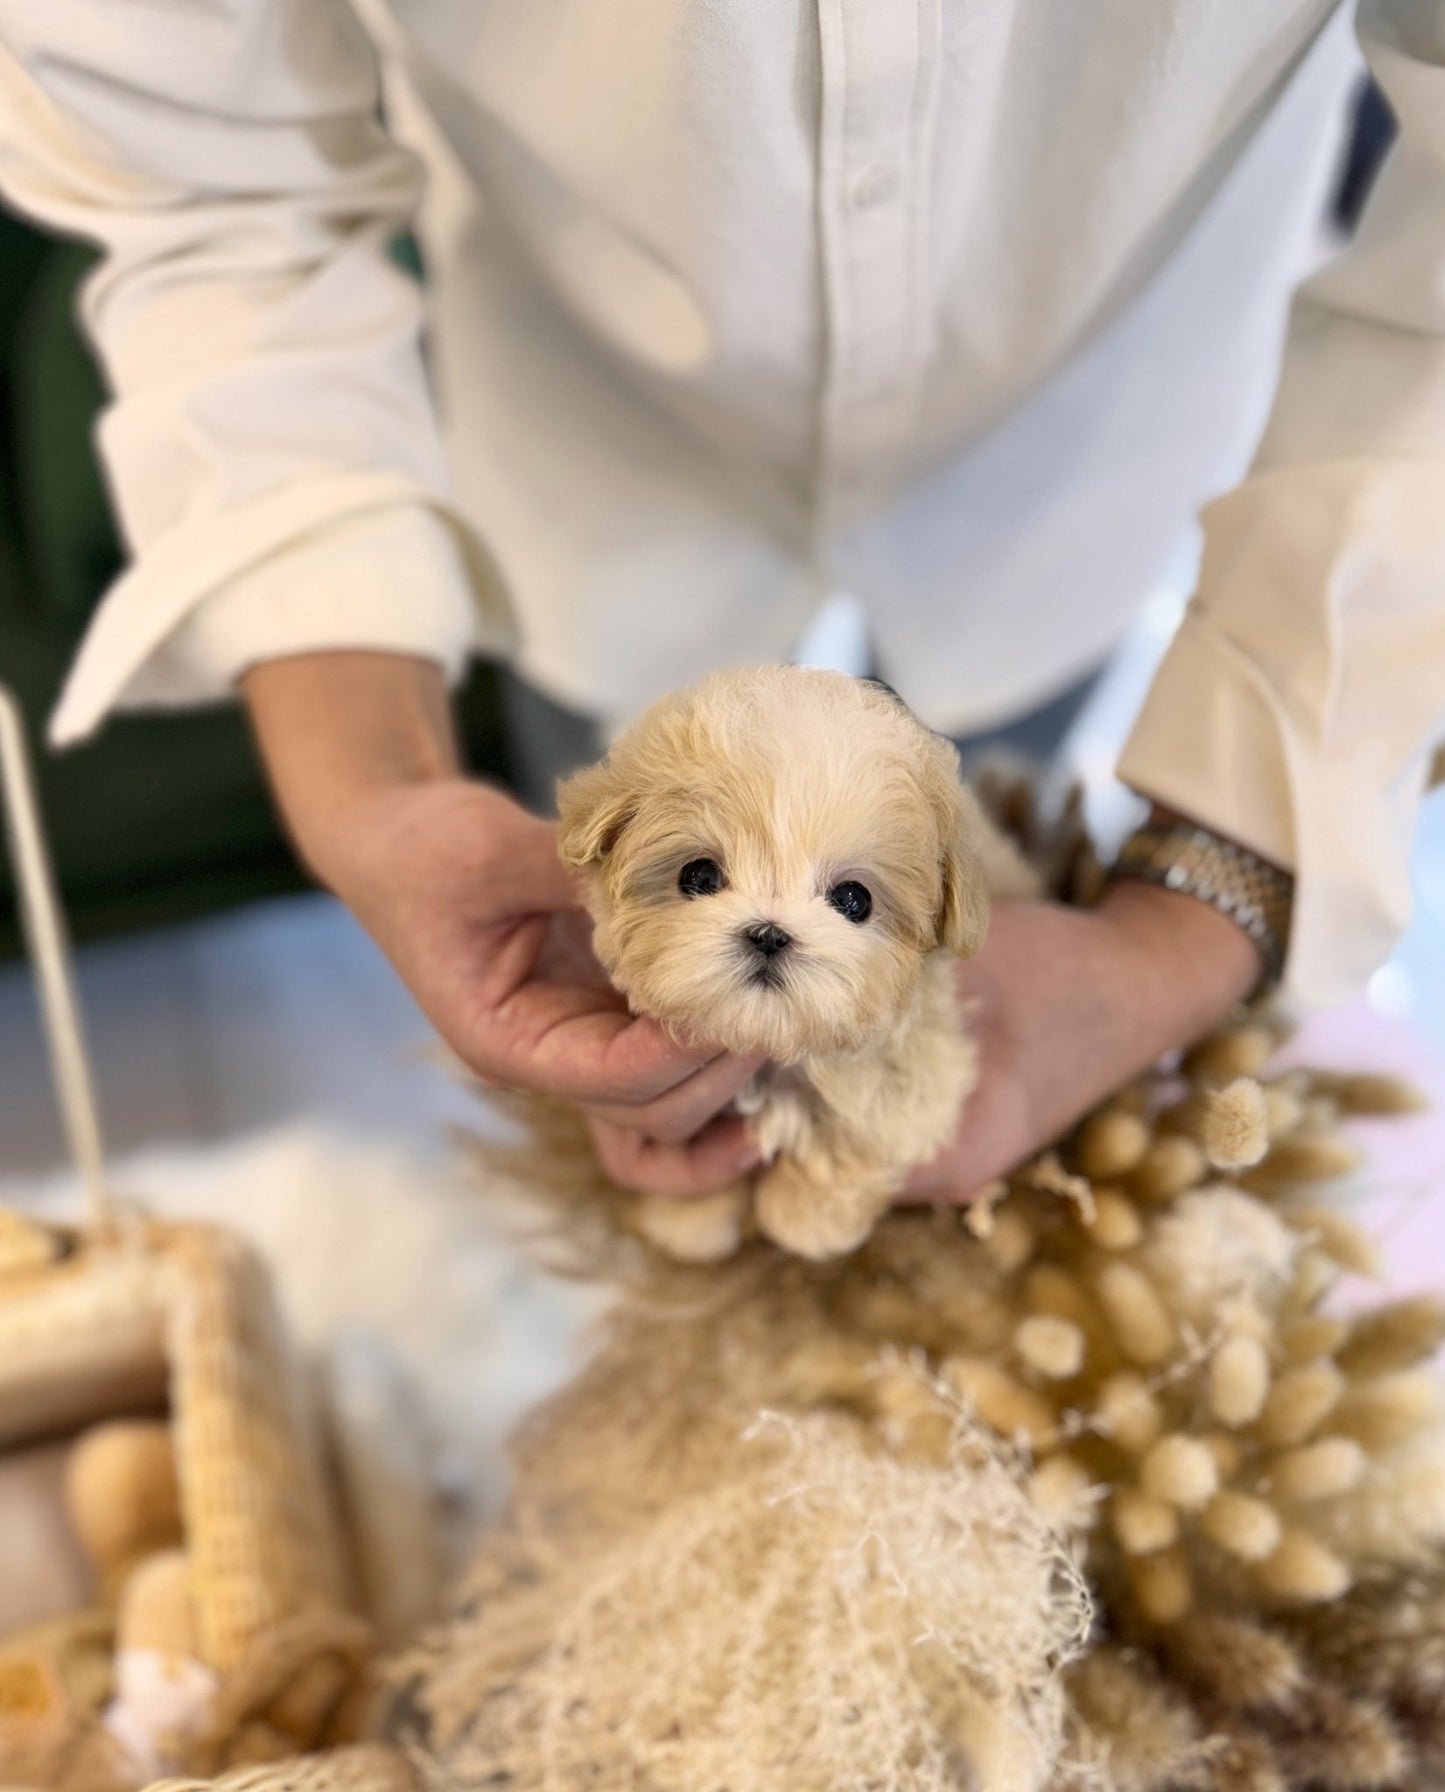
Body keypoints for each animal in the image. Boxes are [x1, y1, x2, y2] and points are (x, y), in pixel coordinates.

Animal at [555, 663, 1039, 1261]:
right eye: (699, 876)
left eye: (854, 900)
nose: (769, 935)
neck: (774, 1050)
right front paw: (688, 1216)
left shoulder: (924, 1068)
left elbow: (867, 1131)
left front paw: (802, 1219)